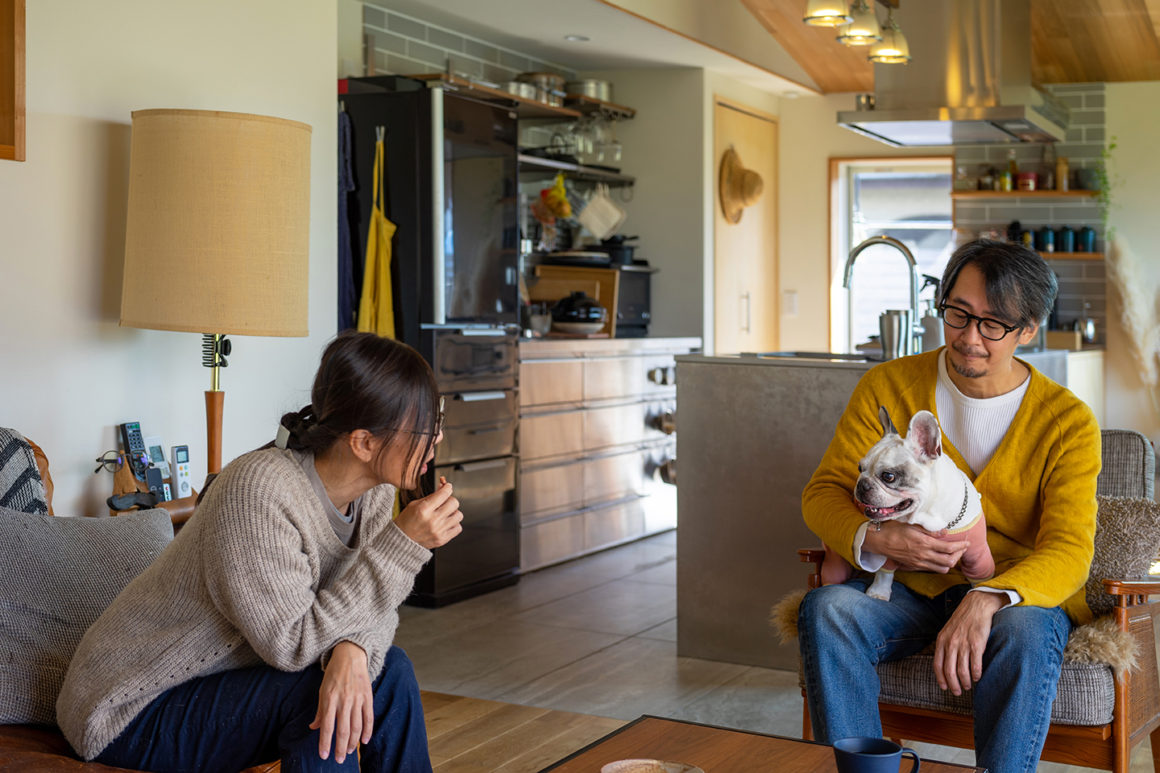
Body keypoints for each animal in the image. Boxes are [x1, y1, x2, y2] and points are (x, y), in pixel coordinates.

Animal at [820, 407, 995, 601]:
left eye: (888, 476)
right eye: (860, 468)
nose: (862, 484)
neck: (929, 518)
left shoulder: (977, 554)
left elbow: (980, 580)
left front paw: (976, 596)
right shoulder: (891, 549)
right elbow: (884, 572)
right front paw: (878, 592)